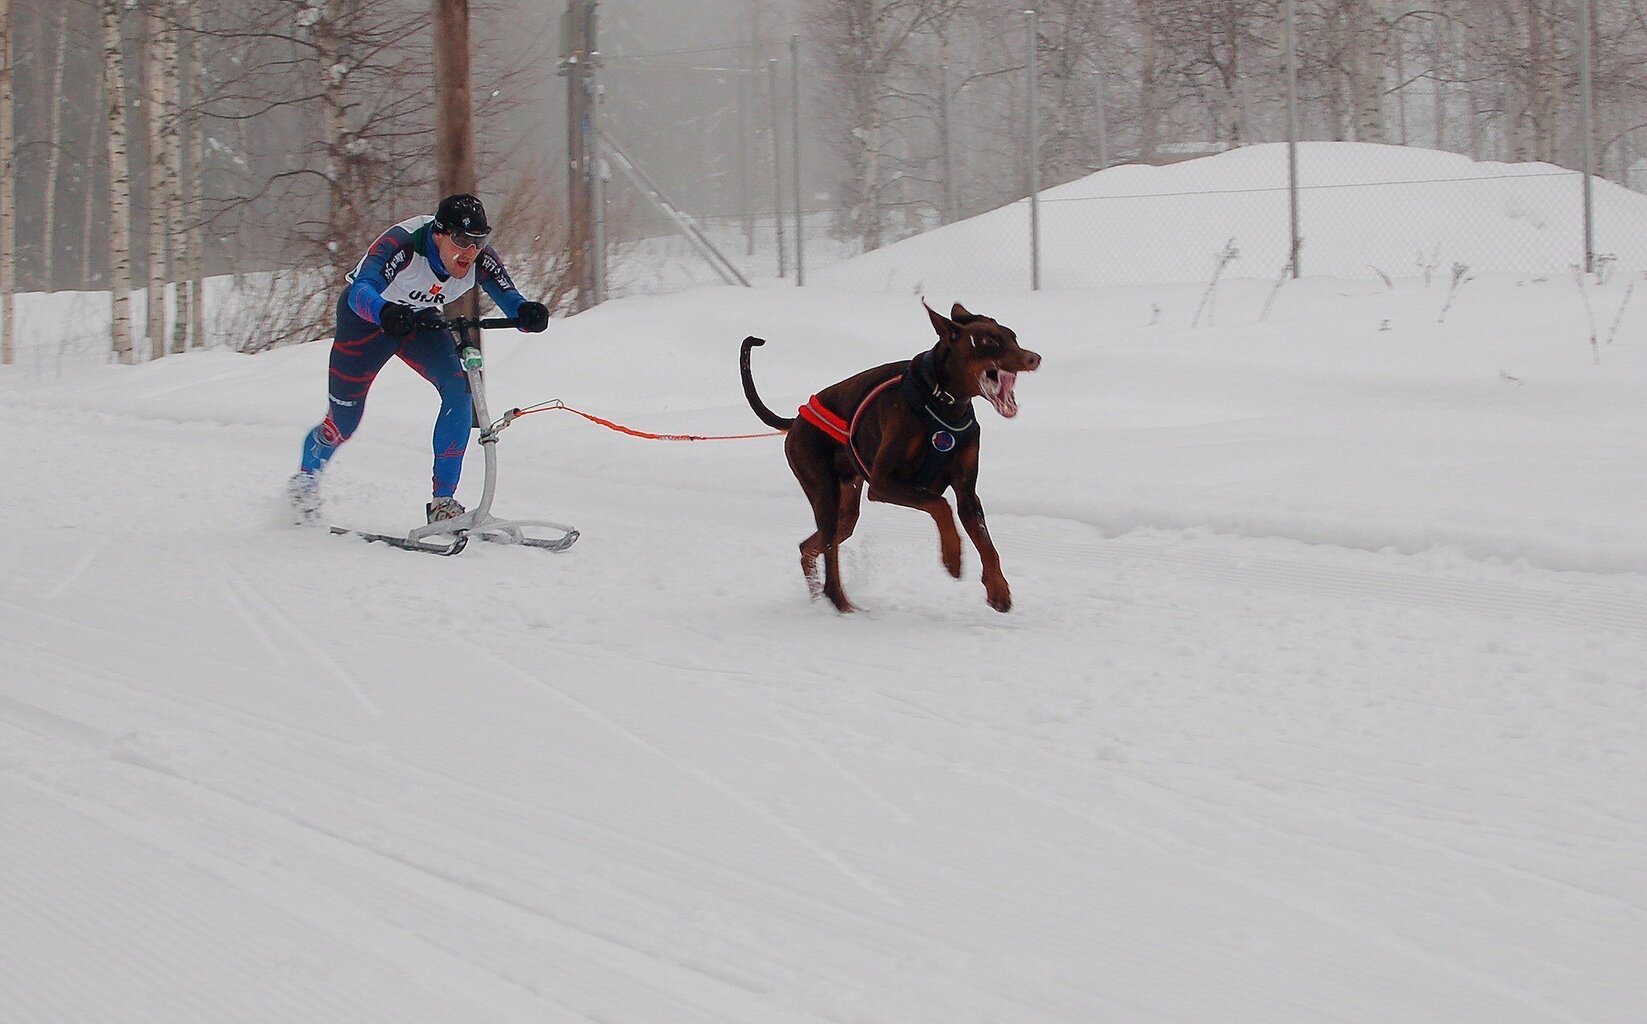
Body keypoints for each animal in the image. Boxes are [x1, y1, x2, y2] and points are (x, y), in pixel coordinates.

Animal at [744, 301, 1040, 612]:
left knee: (810, 546)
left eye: (1013, 337)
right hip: (824, 492)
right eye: (987, 341)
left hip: (846, 507)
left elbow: (986, 543)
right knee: (829, 557)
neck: (942, 401)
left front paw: (998, 589)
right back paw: (841, 606)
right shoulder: (883, 484)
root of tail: (796, 420)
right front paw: (952, 556)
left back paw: (820, 600)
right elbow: (940, 504)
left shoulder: (967, 492)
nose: (1034, 358)